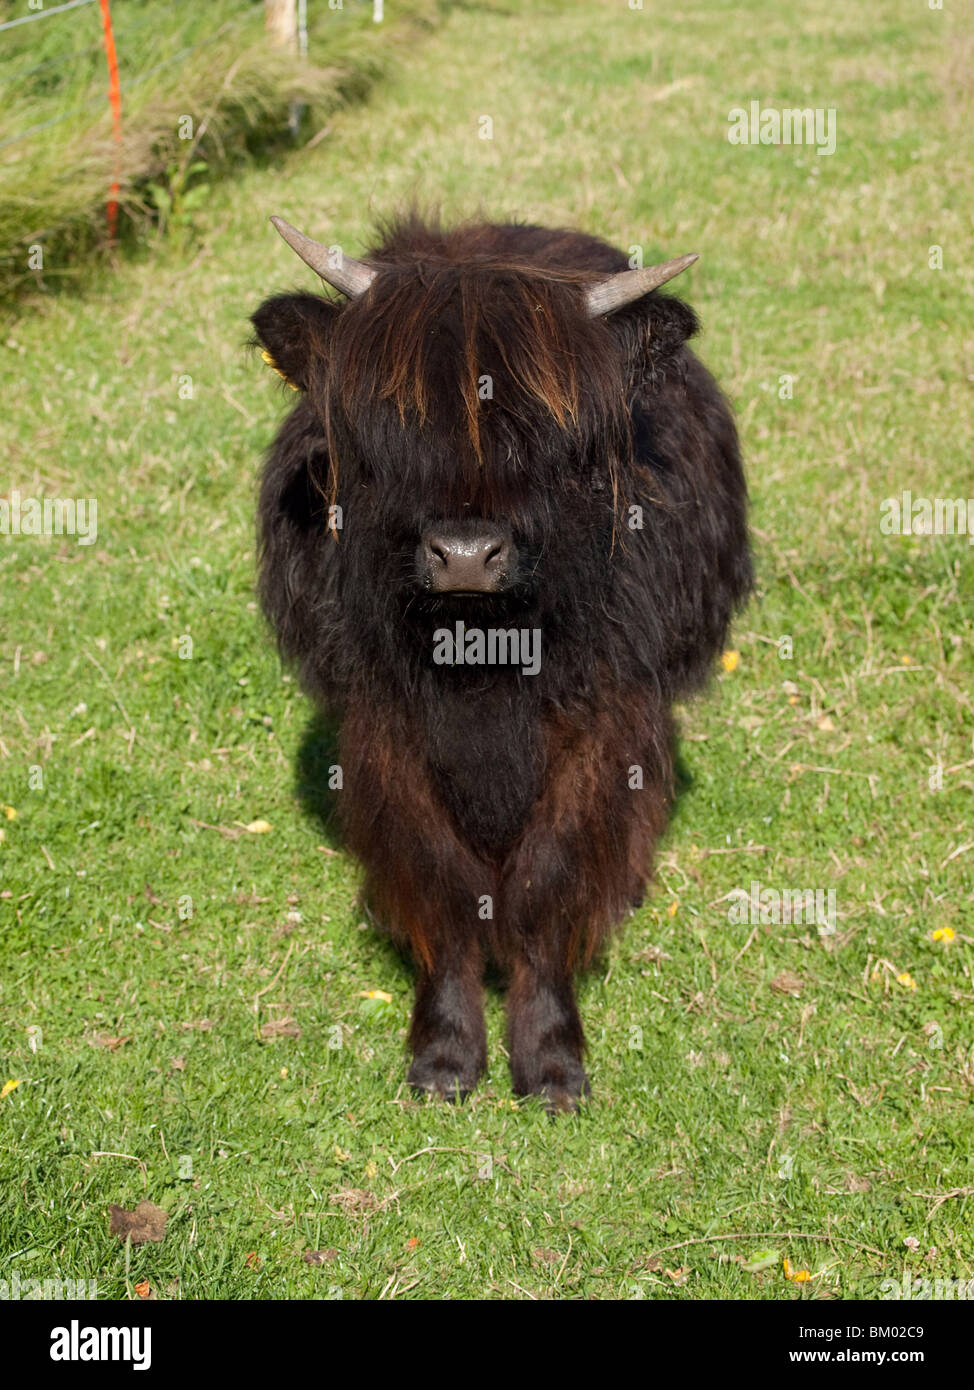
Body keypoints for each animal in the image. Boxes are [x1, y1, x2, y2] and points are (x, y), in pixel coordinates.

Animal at [251, 213, 752, 1109]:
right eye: (393, 421)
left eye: (549, 432)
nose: (464, 555)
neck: (479, 667)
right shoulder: (383, 730)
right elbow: (439, 878)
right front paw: (445, 1054)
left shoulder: (604, 725)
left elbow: (550, 876)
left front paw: (551, 1060)